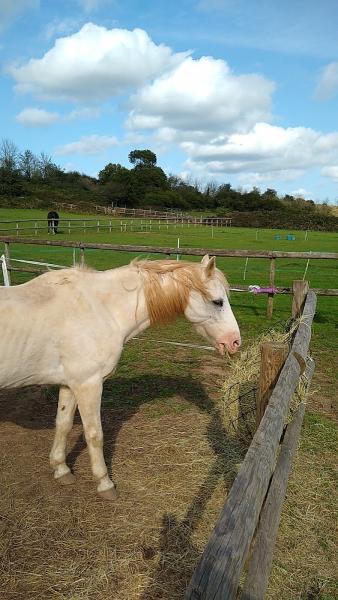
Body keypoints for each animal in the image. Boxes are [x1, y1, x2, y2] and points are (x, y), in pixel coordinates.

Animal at [0, 255, 240, 500]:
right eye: (218, 302)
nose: (235, 341)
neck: (99, 308)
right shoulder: (89, 385)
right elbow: (95, 435)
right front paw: (104, 483)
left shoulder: (70, 385)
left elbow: (63, 425)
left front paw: (61, 470)